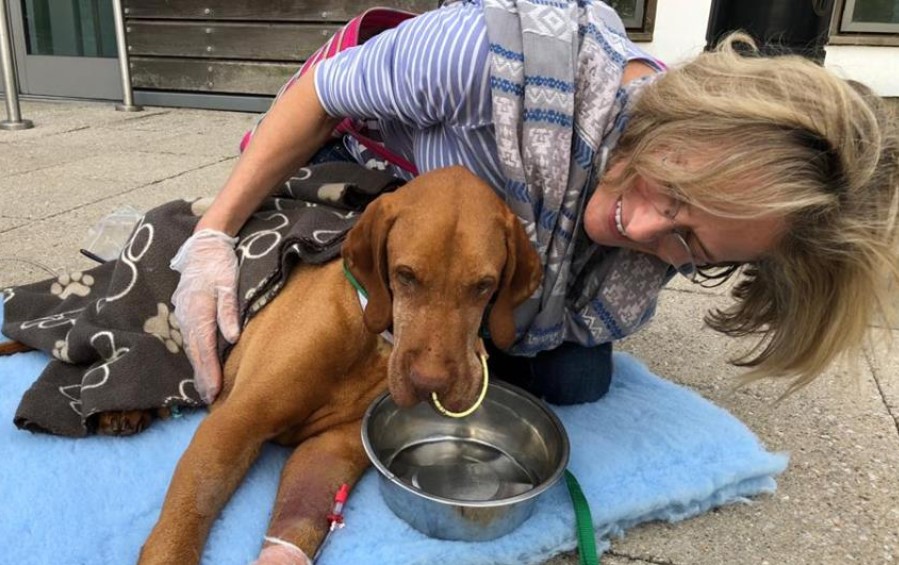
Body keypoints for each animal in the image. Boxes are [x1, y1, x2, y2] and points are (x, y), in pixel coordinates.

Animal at [135, 166, 540, 564]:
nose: (430, 383)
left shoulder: (333, 448)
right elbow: (188, 515)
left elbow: (300, 522)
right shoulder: (233, 425)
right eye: (405, 275)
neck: (375, 338)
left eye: (483, 285)